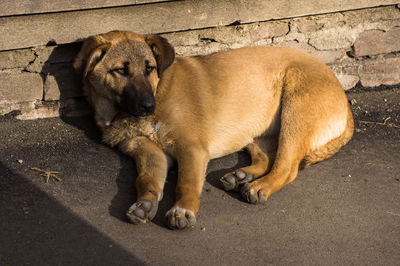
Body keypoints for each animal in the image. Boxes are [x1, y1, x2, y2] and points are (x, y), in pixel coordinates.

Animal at [74, 30, 354, 230]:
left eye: (149, 68)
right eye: (121, 70)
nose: (148, 106)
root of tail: (343, 97)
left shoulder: (191, 149)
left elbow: (186, 182)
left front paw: (182, 209)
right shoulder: (149, 152)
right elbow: (146, 179)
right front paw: (146, 202)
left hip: (294, 112)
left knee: (287, 167)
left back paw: (259, 187)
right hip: (253, 131)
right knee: (267, 158)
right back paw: (241, 176)